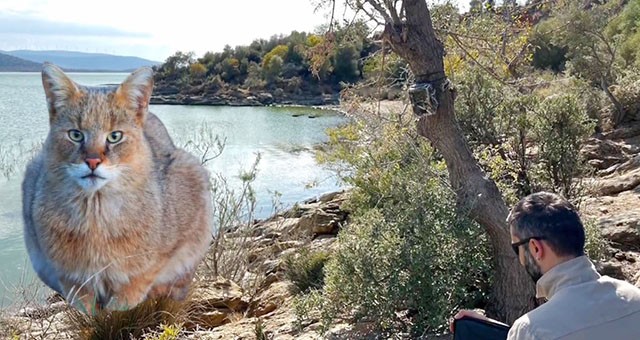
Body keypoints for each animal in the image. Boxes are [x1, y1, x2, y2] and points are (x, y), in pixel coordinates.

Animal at [22, 63, 212, 314]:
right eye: (75, 134)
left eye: (114, 136)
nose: (92, 161)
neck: (95, 214)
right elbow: (78, 289)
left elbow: (145, 273)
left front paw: (123, 301)